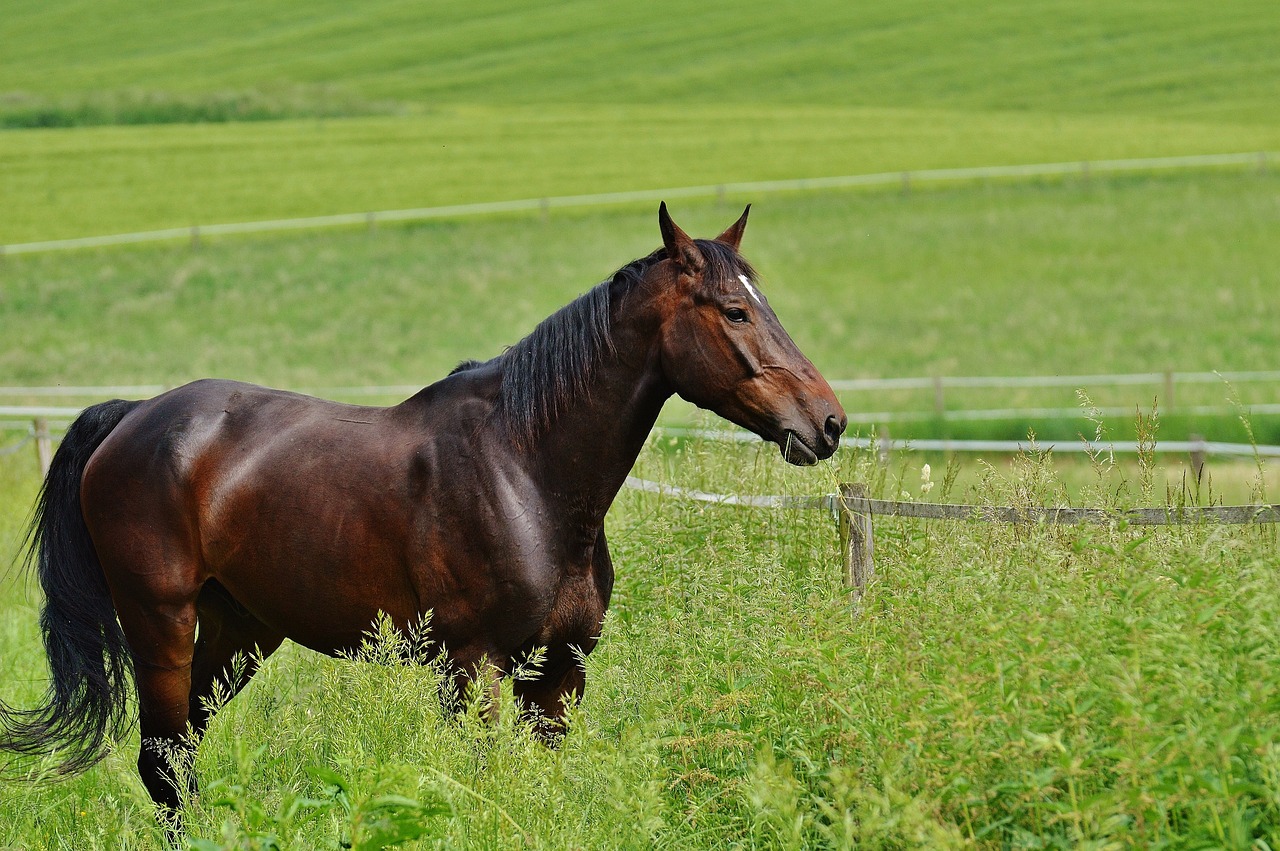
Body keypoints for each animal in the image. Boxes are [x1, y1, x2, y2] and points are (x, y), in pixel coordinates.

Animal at [2, 202, 849, 813]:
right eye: (733, 312)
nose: (829, 422)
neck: (527, 471)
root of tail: (134, 417)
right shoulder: (472, 668)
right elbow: (483, 785)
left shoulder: (560, 675)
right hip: (162, 627)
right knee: (161, 762)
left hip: (240, 632)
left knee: (178, 759)